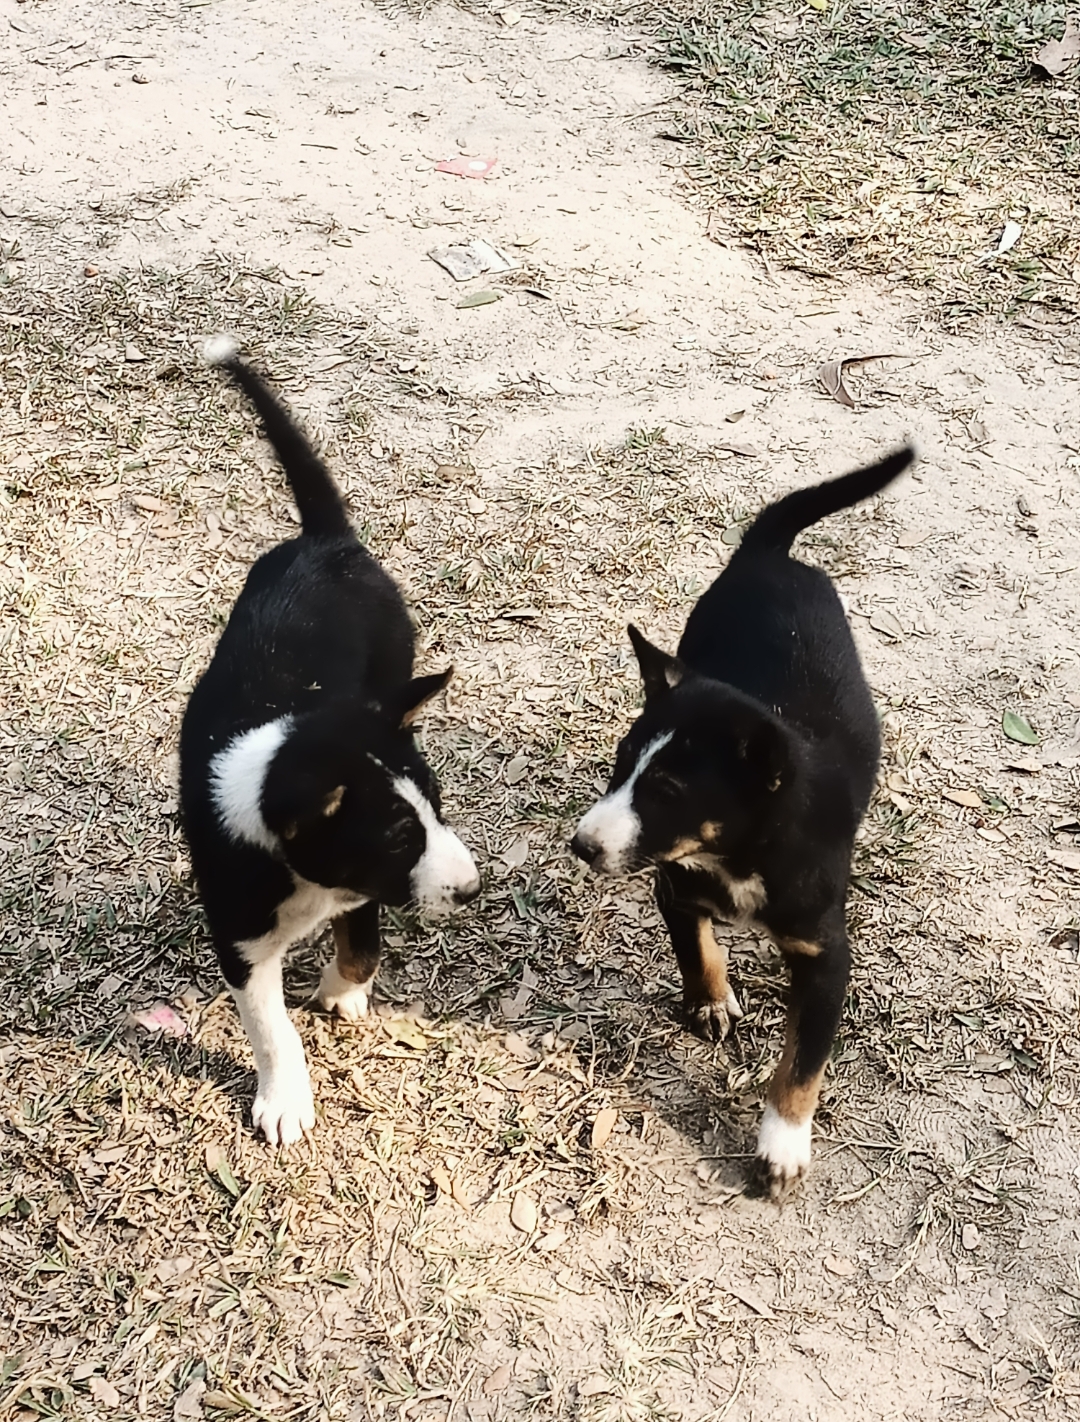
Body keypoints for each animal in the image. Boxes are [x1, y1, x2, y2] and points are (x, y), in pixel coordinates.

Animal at [181, 338, 478, 1148]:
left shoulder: (361, 887)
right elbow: (270, 1027)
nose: (472, 889)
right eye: (400, 836)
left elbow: (364, 938)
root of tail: (327, 540)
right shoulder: (241, 938)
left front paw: (344, 989)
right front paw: (285, 1100)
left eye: (439, 809)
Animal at [569, 446, 916, 1200]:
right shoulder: (674, 883)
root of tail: (768, 554)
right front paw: (711, 1001)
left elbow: (802, 1063)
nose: (582, 846)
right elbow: (694, 947)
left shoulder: (825, 957)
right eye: (620, 763)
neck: (739, 854)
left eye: (668, 789)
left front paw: (782, 1145)